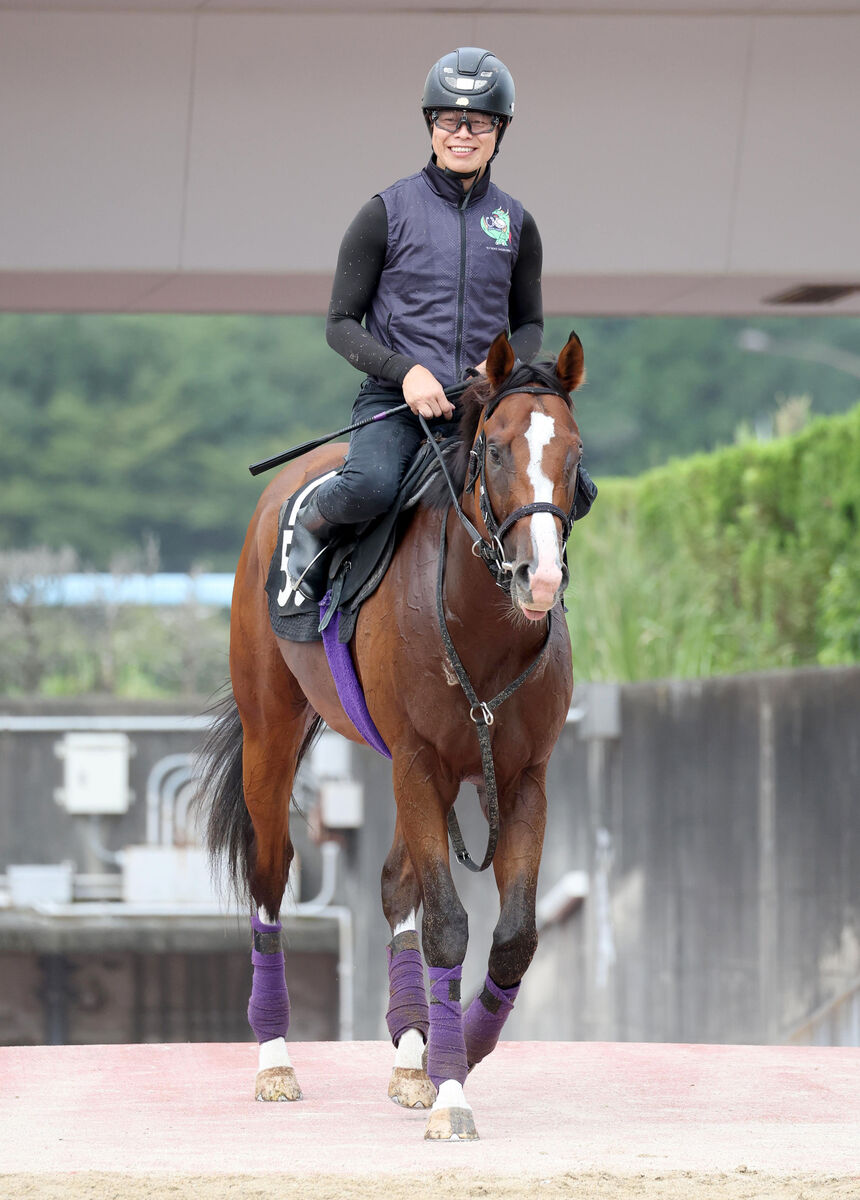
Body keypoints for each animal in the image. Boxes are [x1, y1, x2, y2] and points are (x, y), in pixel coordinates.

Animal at [200, 328, 587, 1142]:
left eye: (573, 453)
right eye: (495, 449)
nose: (538, 578)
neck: (481, 629)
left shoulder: (521, 777)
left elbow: (513, 937)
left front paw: (454, 1051)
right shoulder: (416, 760)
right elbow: (447, 923)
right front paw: (452, 1091)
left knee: (392, 882)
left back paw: (412, 1055)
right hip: (272, 733)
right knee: (271, 876)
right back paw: (275, 1060)